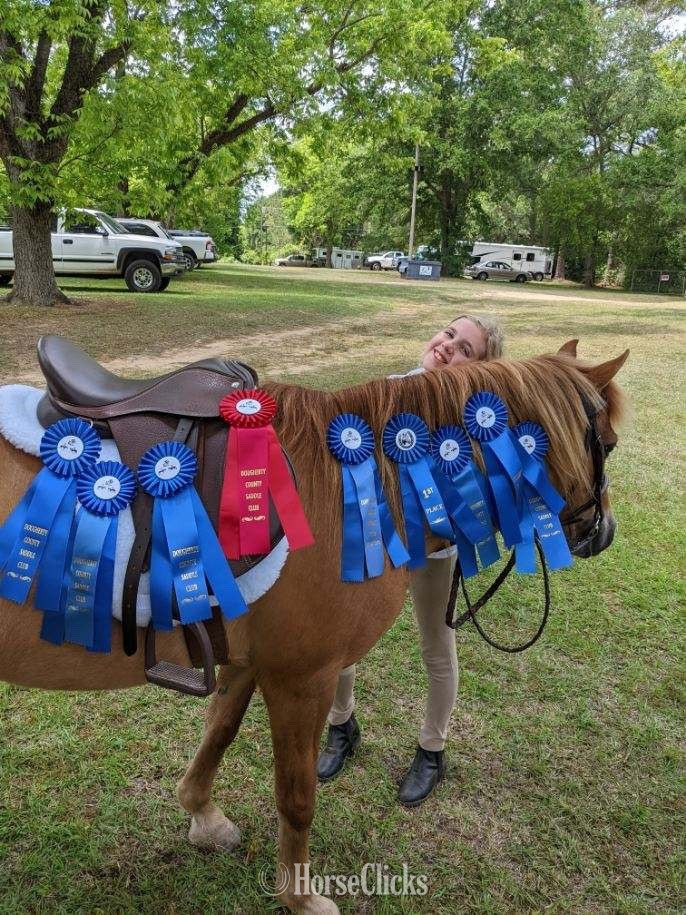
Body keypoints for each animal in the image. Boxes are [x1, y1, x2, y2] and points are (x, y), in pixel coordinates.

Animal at [0, 341, 627, 913]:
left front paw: (204, 817)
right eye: (610, 444)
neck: (355, 489)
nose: (603, 533)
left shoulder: (249, 662)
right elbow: (296, 797)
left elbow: (218, 736)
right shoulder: (303, 680)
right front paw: (300, 897)